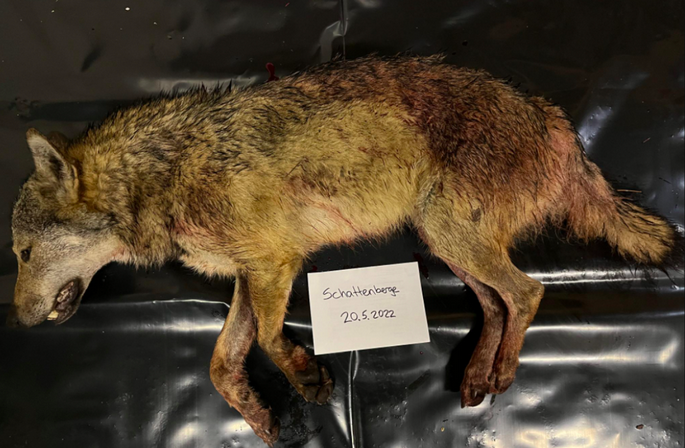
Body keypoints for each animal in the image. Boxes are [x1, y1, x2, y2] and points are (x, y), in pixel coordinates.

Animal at [7, 55, 681, 446]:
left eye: (21, 254)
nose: (16, 321)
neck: (162, 176)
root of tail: (555, 120)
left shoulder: (275, 263)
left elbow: (271, 339)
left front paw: (308, 380)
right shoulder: (251, 274)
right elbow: (221, 365)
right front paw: (261, 417)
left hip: (450, 236)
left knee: (530, 291)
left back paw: (504, 372)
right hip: (443, 242)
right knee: (497, 303)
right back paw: (475, 377)